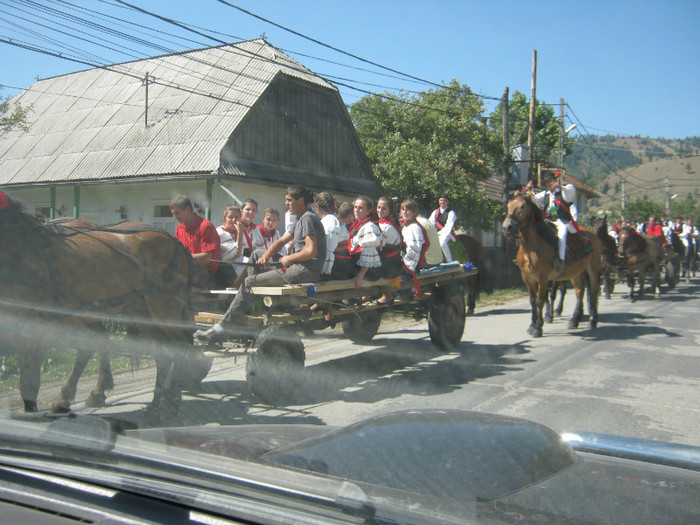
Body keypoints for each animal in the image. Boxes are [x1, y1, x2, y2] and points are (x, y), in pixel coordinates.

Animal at [1, 190, 197, 420]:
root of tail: (173, 239)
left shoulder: (30, 326)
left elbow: (29, 382)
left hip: (164, 305)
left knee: (178, 345)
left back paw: (169, 401)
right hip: (138, 310)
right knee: (159, 349)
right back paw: (154, 401)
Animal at [500, 194, 604, 338]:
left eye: (522, 206)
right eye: (509, 205)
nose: (507, 227)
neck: (531, 248)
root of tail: (593, 234)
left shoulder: (543, 277)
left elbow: (540, 300)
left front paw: (538, 327)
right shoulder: (527, 277)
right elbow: (533, 300)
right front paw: (532, 325)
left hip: (593, 269)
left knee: (593, 291)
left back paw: (593, 320)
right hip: (575, 273)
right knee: (579, 291)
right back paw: (574, 320)